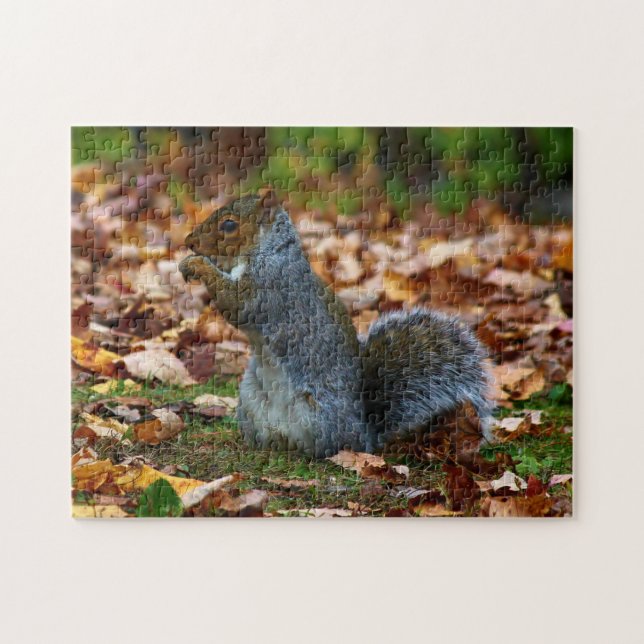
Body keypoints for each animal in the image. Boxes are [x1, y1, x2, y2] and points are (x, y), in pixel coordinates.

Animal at [179, 190, 494, 458]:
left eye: (229, 224)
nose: (190, 242)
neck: (270, 251)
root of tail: (365, 436)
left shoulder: (268, 287)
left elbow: (237, 303)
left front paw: (197, 264)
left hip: (318, 418)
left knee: (328, 447)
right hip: (250, 402)